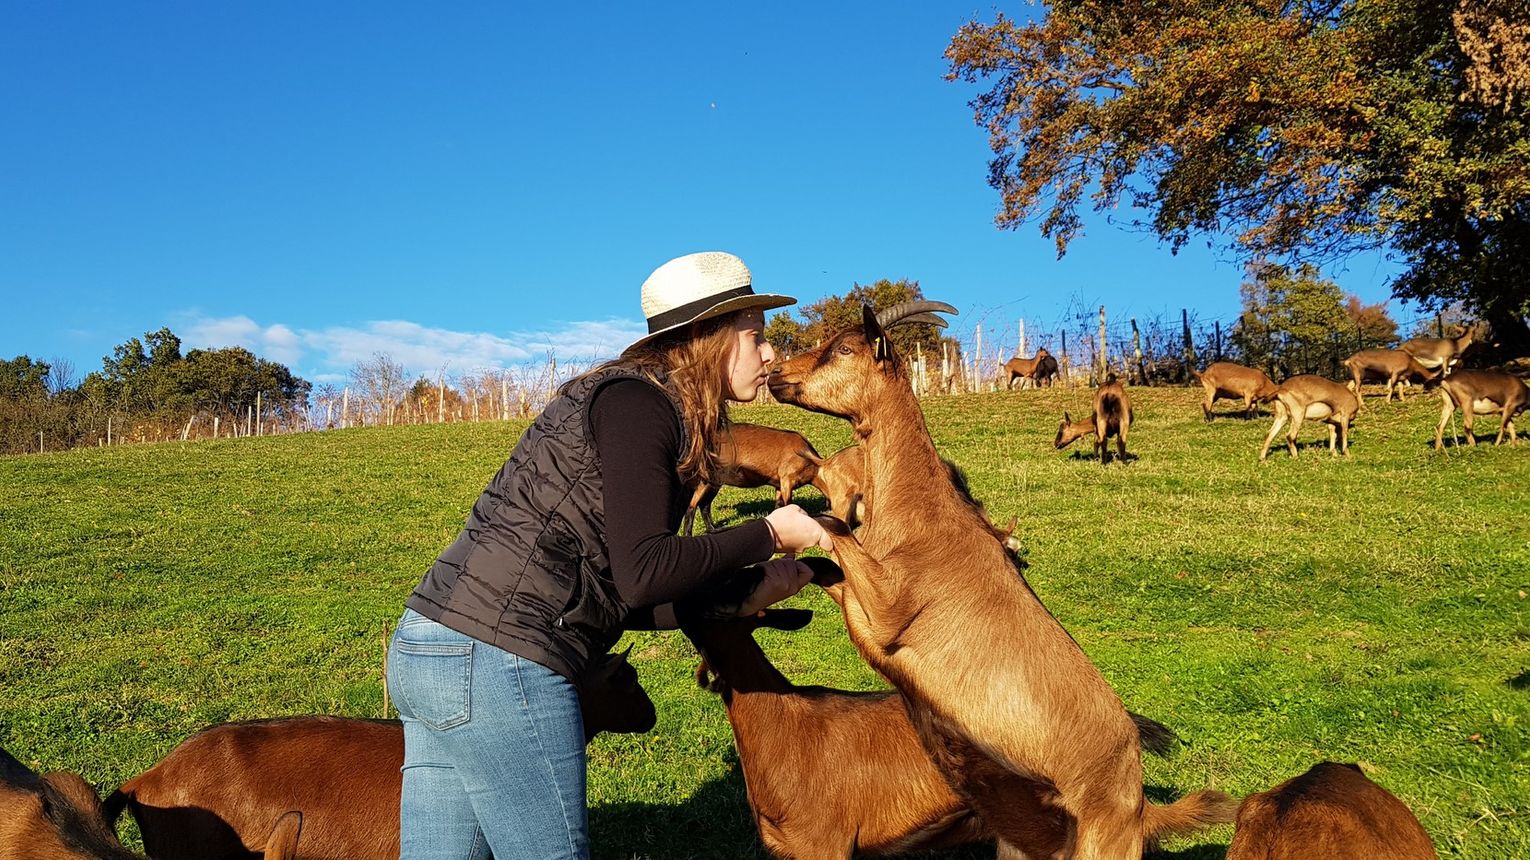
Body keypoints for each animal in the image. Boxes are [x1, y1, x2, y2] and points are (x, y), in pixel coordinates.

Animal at [685, 419, 826, 532]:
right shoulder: (787, 479)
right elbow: (788, 504)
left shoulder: (779, 484)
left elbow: (778, 506)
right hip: (708, 478)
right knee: (692, 505)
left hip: (714, 481)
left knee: (704, 504)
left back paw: (714, 529)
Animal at [765, 302, 1230, 856]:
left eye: (844, 348)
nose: (775, 373)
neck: (919, 514)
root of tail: (1139, 804)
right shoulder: (857, 596)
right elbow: (825, 562)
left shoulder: (889, 612)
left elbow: (834, 527)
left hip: (1103, 842)